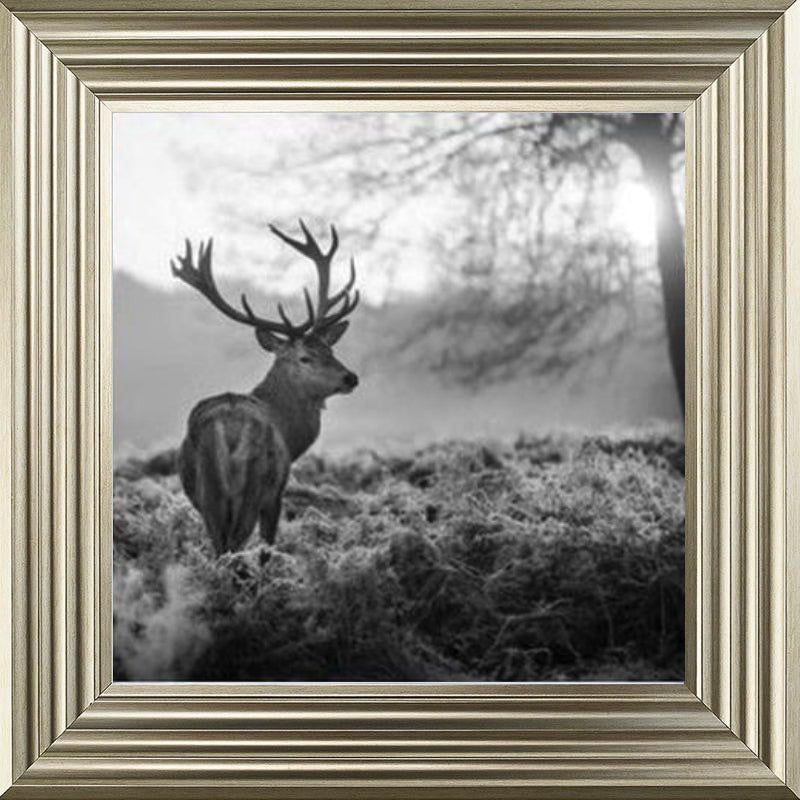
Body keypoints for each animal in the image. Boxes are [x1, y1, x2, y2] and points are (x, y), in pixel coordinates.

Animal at [170, 221, 360, 556]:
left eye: (331, 350)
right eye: (305, 357)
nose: (350, 378)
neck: (291, 434)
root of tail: (229, 432)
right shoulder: (277, 493)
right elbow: (269, 540)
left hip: (210, 497)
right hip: (254, 487)